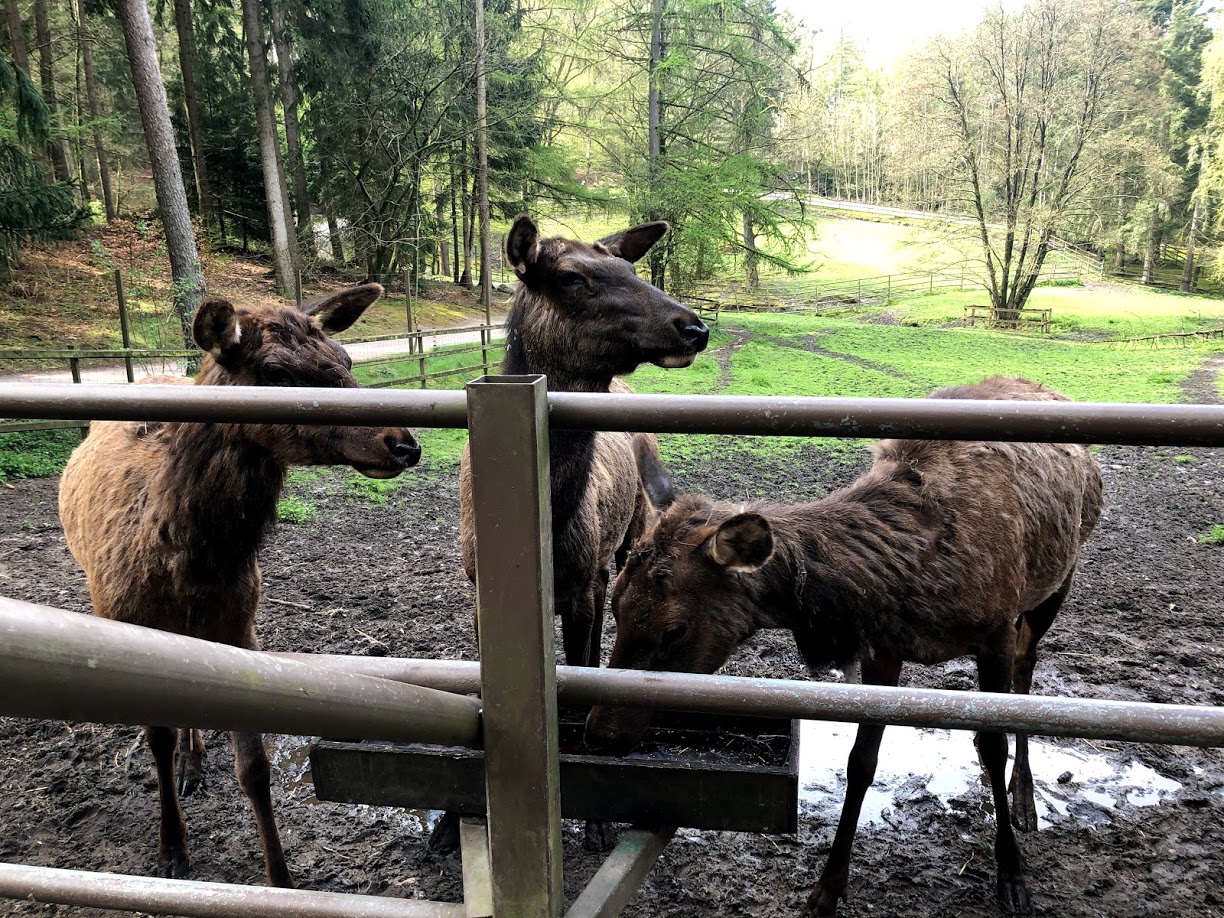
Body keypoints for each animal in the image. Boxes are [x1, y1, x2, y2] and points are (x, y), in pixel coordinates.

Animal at [57, 283, 420, 888]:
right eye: (275, 370)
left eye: (346, 360)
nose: (403, 443)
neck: (190, 566)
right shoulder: (135, 624)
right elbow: (156, 739)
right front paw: (173, 850)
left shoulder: (239, 624)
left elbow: (254, 765)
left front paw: (282, 877)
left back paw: (196, 763)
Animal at [428, 214, 708, 853]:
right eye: (571, 277)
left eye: (630, 267)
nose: (693, 326)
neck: (545, 528)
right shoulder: (480, 589)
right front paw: (448, 821)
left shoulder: (583, 585)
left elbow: (578, 677)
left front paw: (595, 818)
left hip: (626, 543)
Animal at [585, 376, 1104, 916]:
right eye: (616, 603)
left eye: (675, 630)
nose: (598, 733)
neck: (917, 580)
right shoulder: (883, 648)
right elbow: (861, 761)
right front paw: (826, 888)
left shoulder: (995, 631)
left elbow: (994, 743)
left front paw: (1012, 873)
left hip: (1056, 582)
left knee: (1028, 665)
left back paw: (1024, 797)